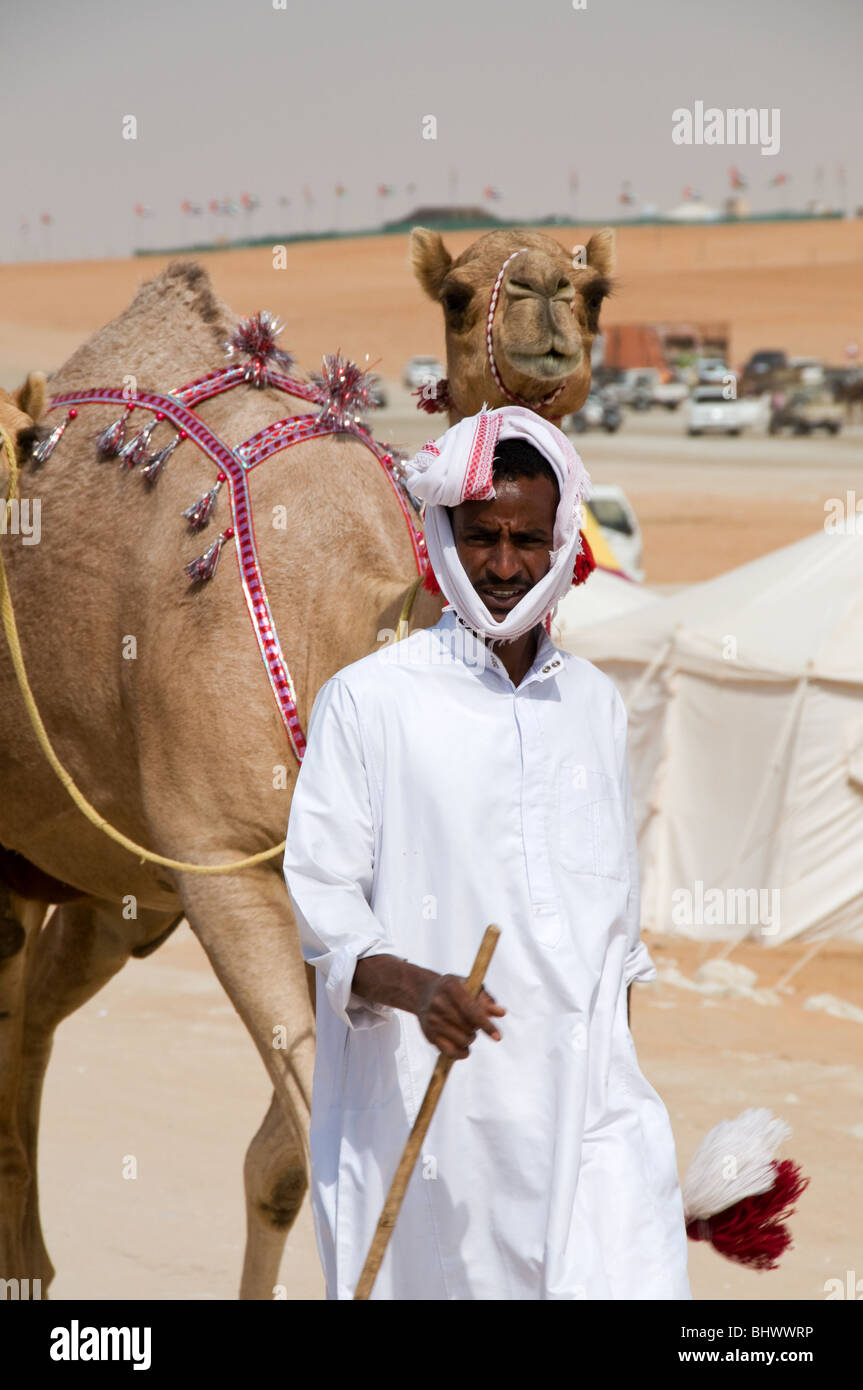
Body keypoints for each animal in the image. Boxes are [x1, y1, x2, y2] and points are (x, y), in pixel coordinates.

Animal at [0, 225, 613, 1299]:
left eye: (594, 290)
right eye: (458, 294)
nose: (543, 302)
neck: (344, 617)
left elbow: (286, 1163)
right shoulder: (221, 859)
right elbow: (310, 1129)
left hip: (106, 883)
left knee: (32, 1014)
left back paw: (31, 1264)